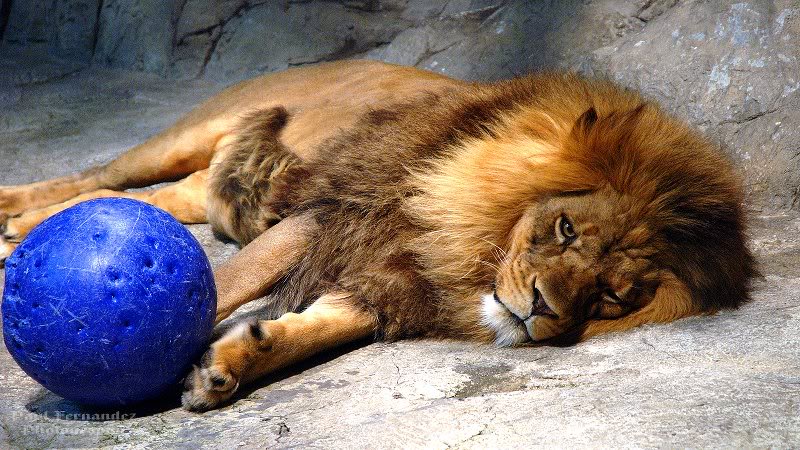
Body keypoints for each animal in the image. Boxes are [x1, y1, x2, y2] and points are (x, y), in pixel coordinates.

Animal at [0, 60, 755, 411]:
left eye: (612, 297)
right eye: (565, 228)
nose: (543, 308)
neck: (462, 247)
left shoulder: (389, 274)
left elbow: (316, 328)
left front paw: (229, 366)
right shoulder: (331, 216)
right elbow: (221, 282)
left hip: (207, 194)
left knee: (137, 199)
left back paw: (20, 233)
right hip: (186, 136)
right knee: (98, 173)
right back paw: (13, 215)